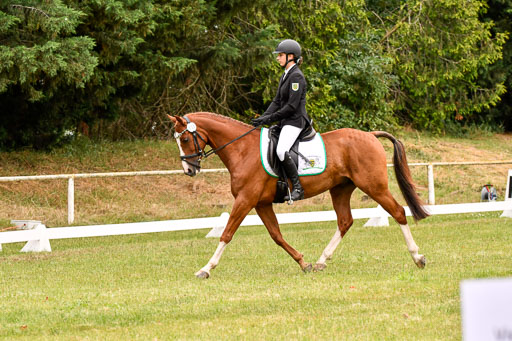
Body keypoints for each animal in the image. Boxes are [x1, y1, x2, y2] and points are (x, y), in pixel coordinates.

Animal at [168, 113, 428, 278]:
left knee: (398, 212)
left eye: (185, 138)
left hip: (374, 186)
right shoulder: (261, 204)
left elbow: (227, 233)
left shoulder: (245, 200)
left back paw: (418, 257)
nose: (189, 170)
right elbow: (277, 236)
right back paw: (322, 261)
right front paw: (304, 263)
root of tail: (370, 134)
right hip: (341, 189)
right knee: (345, 221)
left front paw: (206, 269)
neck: (242, 150)